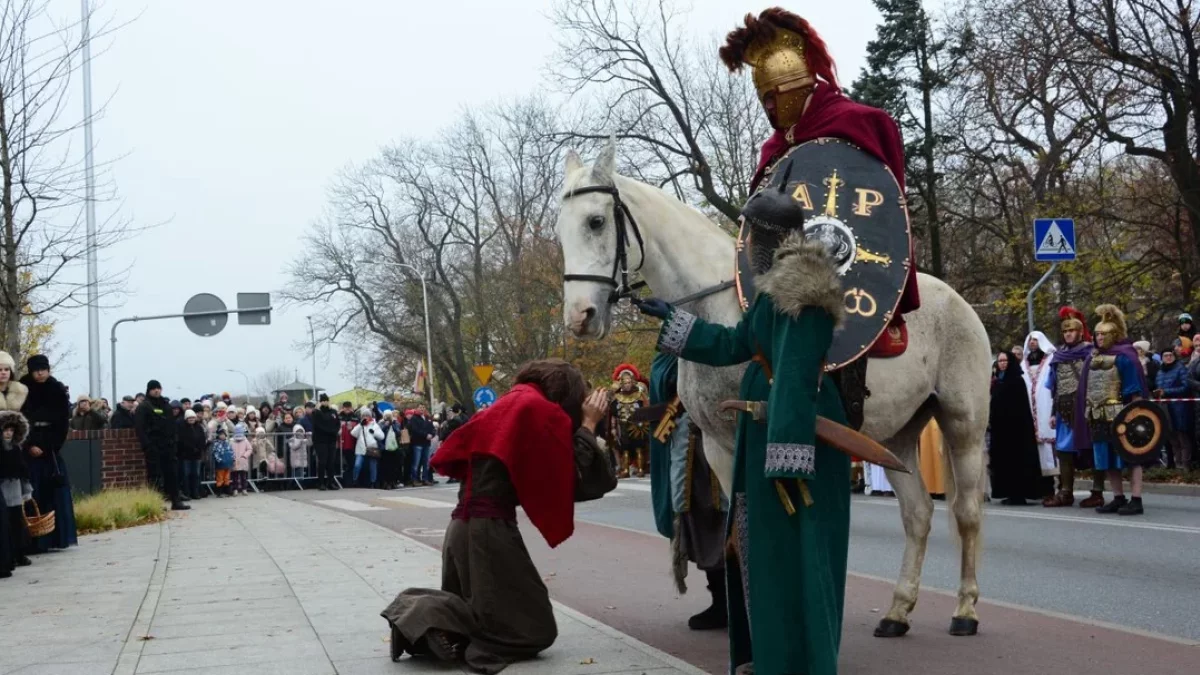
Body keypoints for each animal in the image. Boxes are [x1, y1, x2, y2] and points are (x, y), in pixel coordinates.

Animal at [556, 141, 988, 634]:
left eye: (596, 221)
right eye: (560, 231)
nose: (580, 318)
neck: (721, 306)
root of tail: (959, 301)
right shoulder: (719, 447)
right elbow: (733, 532)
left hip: (963, 424)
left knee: (966, 513)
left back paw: (965, 609)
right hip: (896, 437)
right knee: (918, 515)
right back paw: (898, 611)